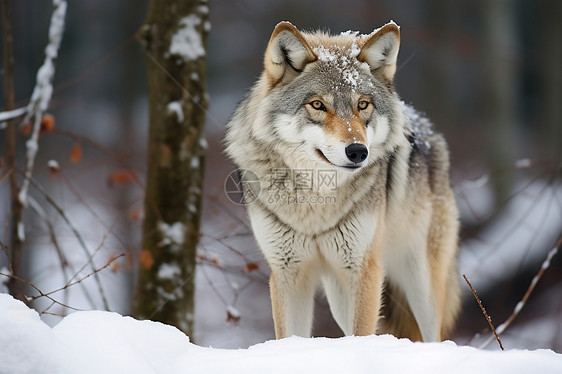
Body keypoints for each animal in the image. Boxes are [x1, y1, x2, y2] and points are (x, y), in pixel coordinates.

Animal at [223, 20, 460, 342]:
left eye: (363, 104)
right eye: (317, 105)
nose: (358, 151)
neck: (316, 202)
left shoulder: (363, 269)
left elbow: (362, 334)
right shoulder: (287, 273)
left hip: (420, 281)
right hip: (338, 294)